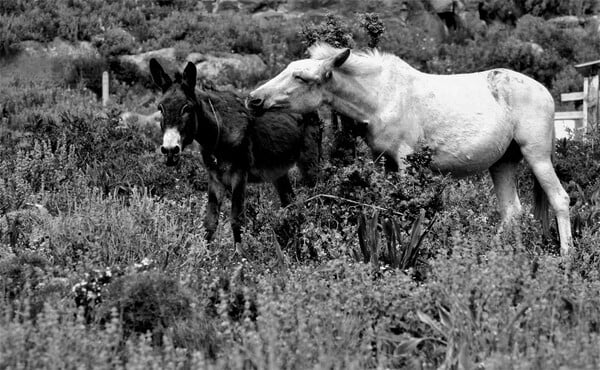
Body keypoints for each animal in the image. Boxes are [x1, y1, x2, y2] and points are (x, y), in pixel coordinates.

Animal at [247, 42, 572, 254]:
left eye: (300, 77)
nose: (254, 99)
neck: (380, 98)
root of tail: (546, 93)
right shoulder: (384, 160)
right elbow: (390, 206)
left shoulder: (406, 159)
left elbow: (410, 208)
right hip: (503, 162)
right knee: (512, 211)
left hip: (537, 155)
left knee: (559, 199)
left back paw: (567, 257)